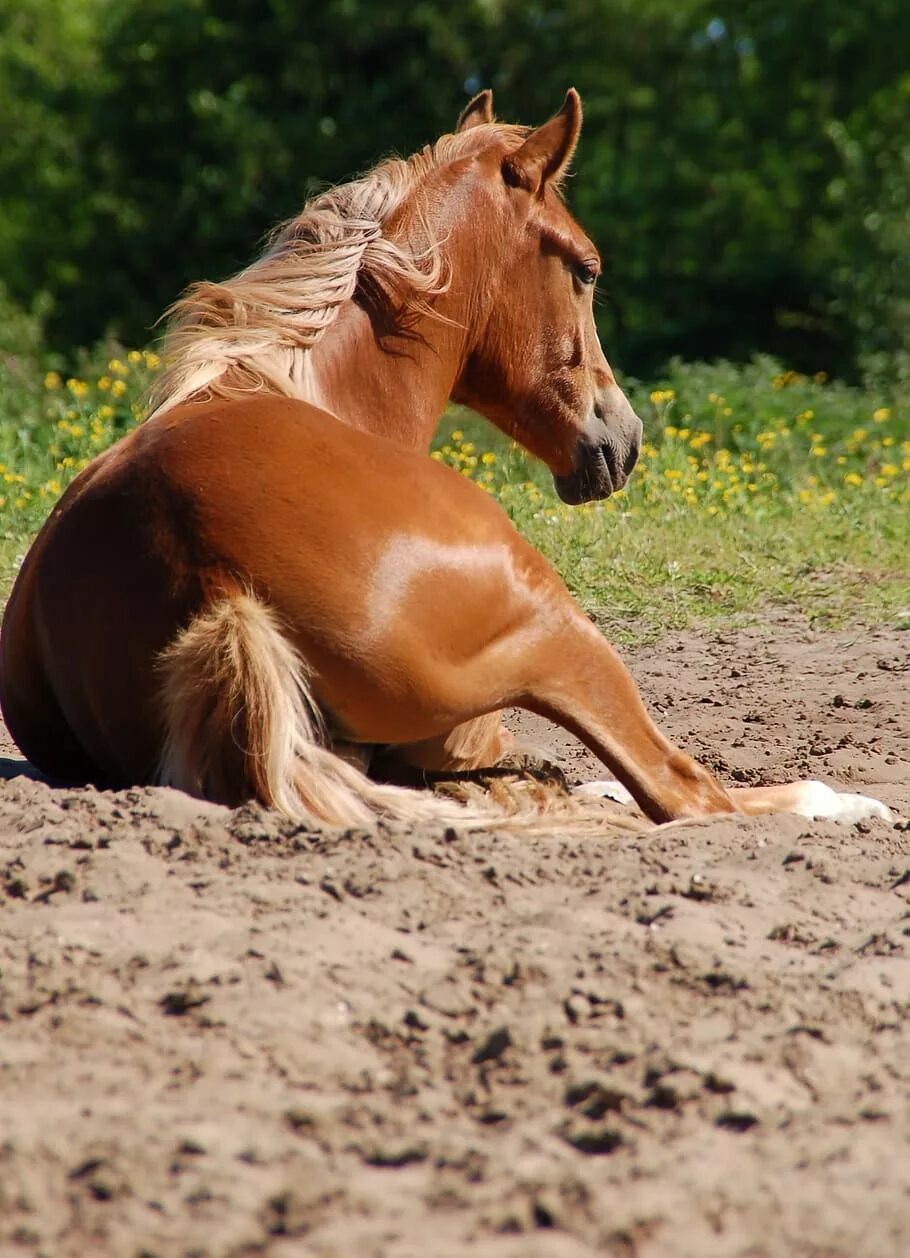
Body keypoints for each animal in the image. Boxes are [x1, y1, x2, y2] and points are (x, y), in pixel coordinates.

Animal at [0, 93, 891, 830]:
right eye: (585, 269)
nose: (624, 437)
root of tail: (214, 585)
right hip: (561, 631)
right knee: (685, 791)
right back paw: (845, 803)